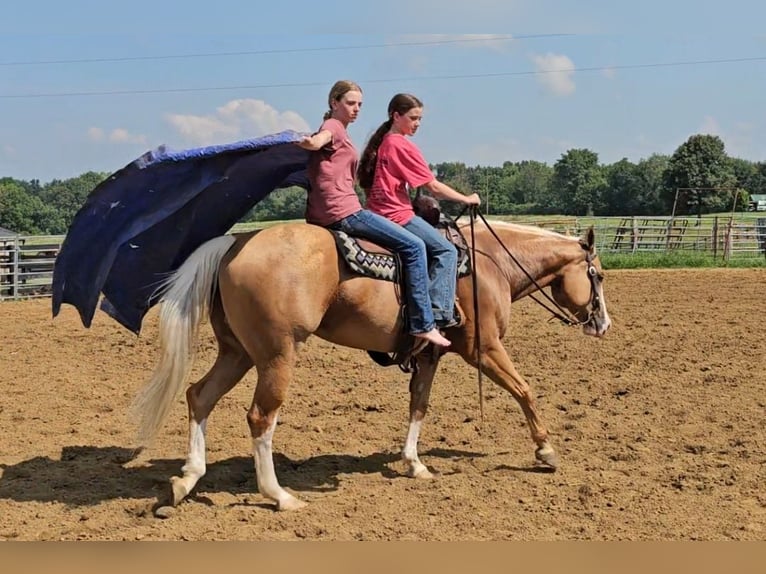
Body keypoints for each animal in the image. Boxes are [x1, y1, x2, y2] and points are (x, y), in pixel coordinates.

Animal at [132, 219, 612, 512]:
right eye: (599, 276)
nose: (604, 324)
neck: (486, 266)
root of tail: (235, 241)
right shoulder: (486, 350)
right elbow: (524, 389)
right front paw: (546, 451)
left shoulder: (429, 356)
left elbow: (419, 407)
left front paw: (415, 464)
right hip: (275, 355)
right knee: (260, 417)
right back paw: (279, 495)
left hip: (238, 353)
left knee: (200, 396)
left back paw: (186, 480)